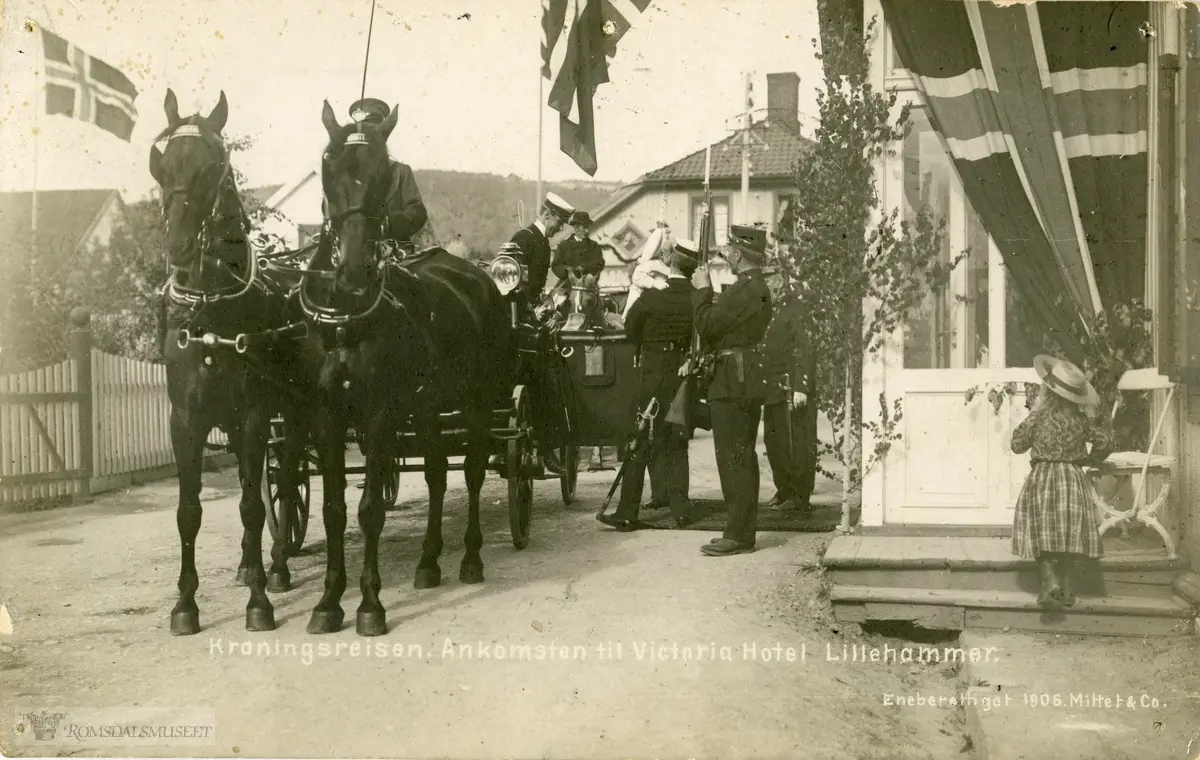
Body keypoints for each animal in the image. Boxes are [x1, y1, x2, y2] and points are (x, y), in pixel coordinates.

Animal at [150, 88, 312, 633]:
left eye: (214, 164)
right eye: (161, 163)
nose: (179, 247)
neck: (210, 312)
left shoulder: (255, 417)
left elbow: (250, 507)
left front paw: (260, 601)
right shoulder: (185, 421)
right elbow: (188, 511)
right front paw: (185, 604)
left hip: (293, 415)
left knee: (286, 482)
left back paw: (277, 567)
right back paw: (248, 564)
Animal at [300, 100, 516, 633]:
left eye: (383, 171)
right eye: (328, 164)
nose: (353, 270)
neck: (347, 316)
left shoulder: (378, 416)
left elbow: (370, 509)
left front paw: (369, 604)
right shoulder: (325, 416)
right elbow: (333, 510)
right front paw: (327, 601)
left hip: (477, 403)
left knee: (473, 471)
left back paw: (470, 559)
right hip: (426, 410)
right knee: (437, 472)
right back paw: (428, 561)